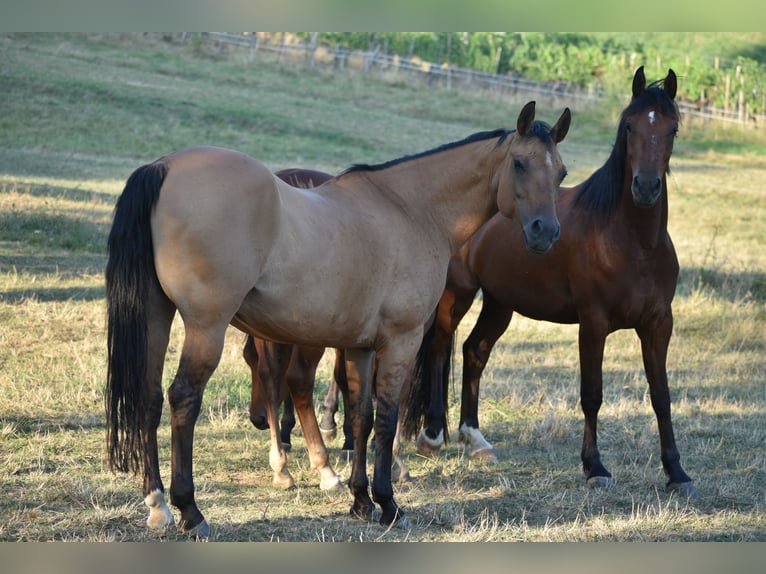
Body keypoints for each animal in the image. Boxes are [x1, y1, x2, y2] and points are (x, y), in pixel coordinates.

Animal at [105, 100, 571, 537]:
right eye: (519, 163)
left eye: (562, 173)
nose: (546, 232)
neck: (413, 210)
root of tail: (164, 166)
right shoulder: (400, 341)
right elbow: (385, 418)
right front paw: (388, 503)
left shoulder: (359, 347)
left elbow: (360, 417)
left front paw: (360, 500)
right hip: (207, 327)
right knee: (184, 398)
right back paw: (190, 510)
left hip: (157, 317)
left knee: (148, 399)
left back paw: (157, 504)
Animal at [403, 67, 697, 498]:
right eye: (629, 126)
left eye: (672, 128)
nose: (645, 188)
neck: (633, 242)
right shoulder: (593, 323)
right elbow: (592, 395)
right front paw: (595, 468)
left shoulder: (659, 324)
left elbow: (661, 396)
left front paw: (677, 471)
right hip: (457, 293)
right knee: (441, 347)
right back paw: (433, 435)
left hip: (500, 301)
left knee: (475, 351)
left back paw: (475, 439)